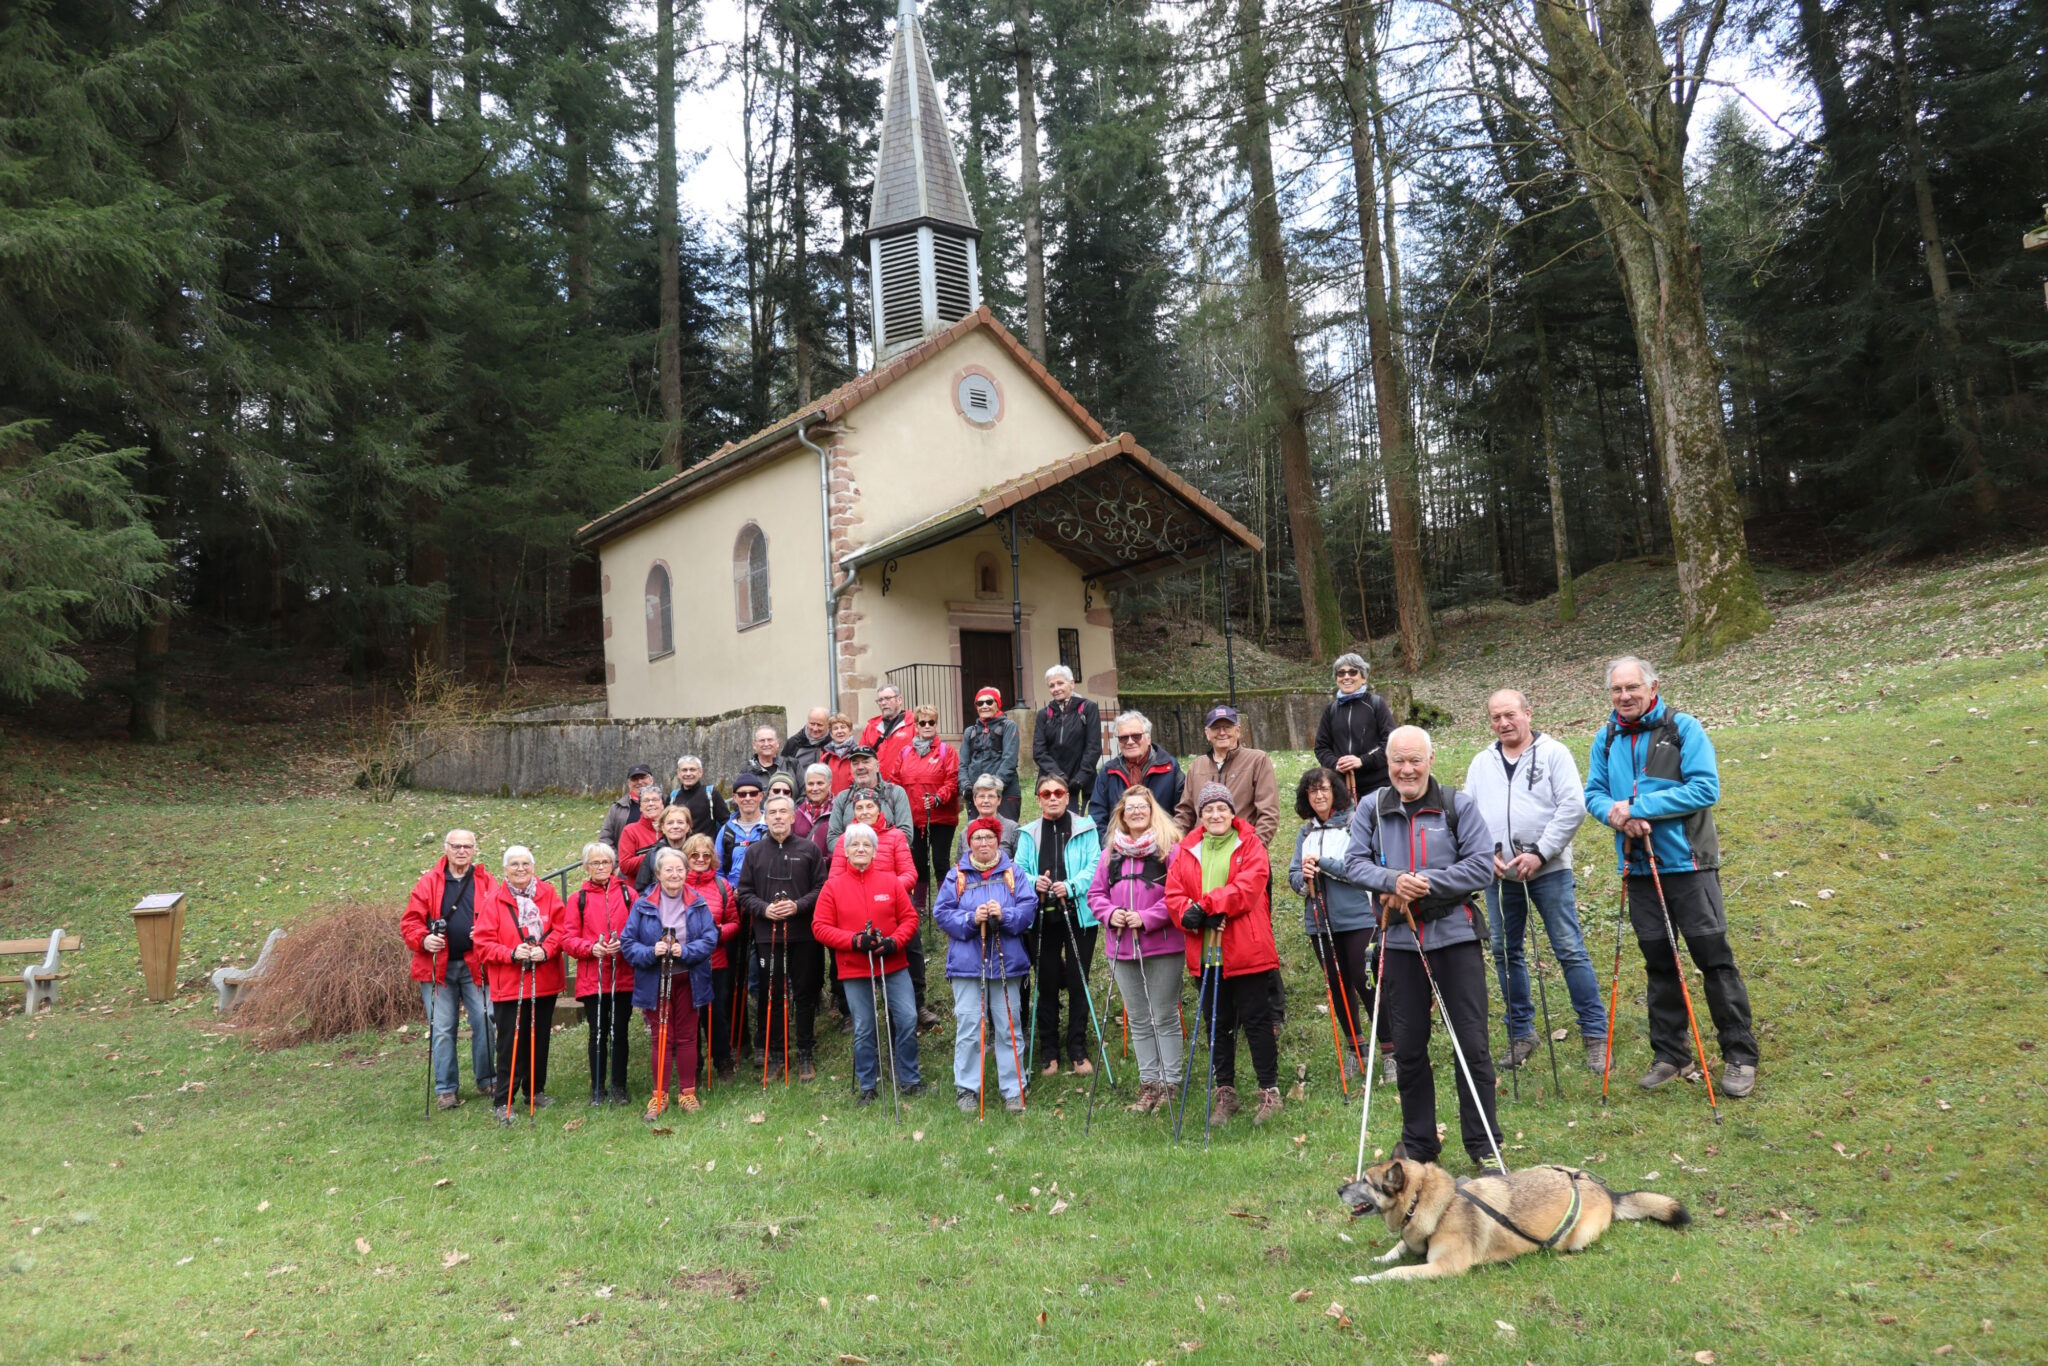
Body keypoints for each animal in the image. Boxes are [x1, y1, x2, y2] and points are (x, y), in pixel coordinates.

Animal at [1335, 1163, 1687, 1286]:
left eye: (1365, 1181)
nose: (1338, 1189)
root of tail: (1604, 1190)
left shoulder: (1445, 1267)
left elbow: (1397, 1272)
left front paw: (1366, 1278)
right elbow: (1398, 1249)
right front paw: (1379, 1257)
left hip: (1576, 1237)